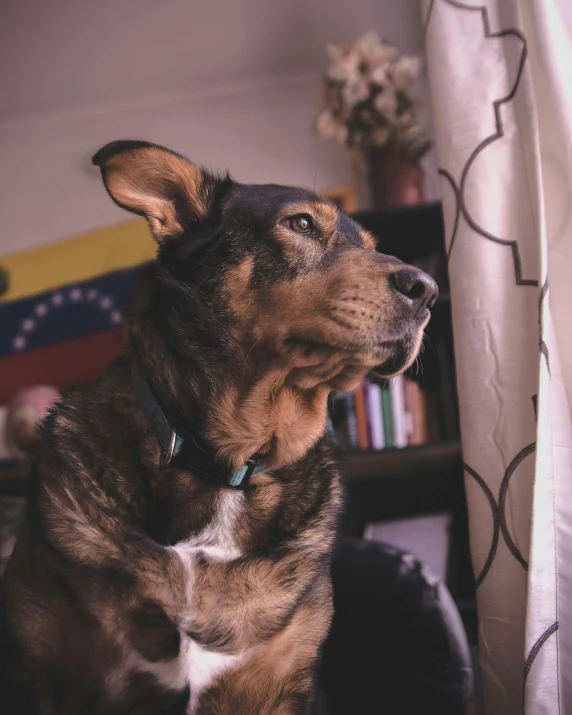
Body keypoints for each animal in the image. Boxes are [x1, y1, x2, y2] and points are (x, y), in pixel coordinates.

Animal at [0, 141, 438, 715]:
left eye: (371, 245)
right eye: (300, 223)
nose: (428, 289)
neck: (228, 464)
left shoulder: (284, 688)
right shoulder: (44, 677)